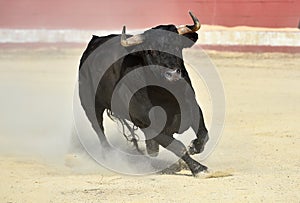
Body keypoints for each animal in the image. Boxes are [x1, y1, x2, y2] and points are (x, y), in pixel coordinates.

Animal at [78, 11, 209, 175]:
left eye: (177, 45)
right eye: (150, 50)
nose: (172, 74)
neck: (166, 95)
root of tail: (95, 40)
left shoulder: (193, 105)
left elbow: (203, 134)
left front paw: (193, 148)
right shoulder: (149, 125)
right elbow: (178, 146)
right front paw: (198, 169)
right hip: (90, 105)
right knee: (99, 130)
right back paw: (109, 157)